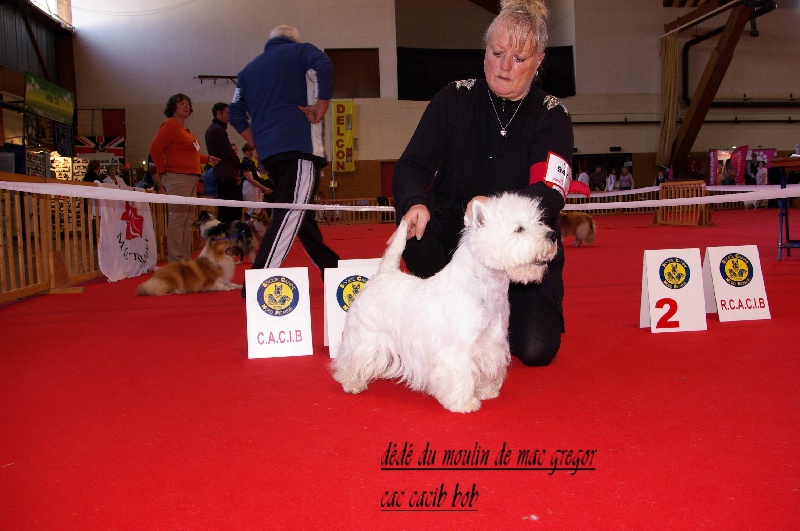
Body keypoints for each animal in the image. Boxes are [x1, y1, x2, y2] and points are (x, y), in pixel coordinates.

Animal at [331, 192, 558, 413]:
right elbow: (460, 375)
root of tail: (383, 273)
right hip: (365, 336)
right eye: (519, 229)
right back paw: (351, 382)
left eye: (539, 221)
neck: (486, 287)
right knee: (352, 358)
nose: (553, 235)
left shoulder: (492, 343)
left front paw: (487, 390)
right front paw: (464, 403)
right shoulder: (457, 350)